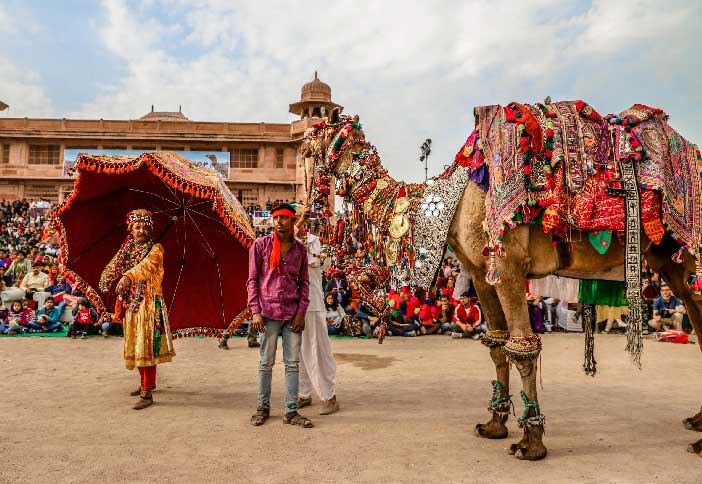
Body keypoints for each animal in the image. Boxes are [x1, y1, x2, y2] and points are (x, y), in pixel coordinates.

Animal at [304, 104, 702, 460]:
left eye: (307, 147)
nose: (309, 210)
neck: (451, 202)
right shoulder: (481, 274)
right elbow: (496, 345)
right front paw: (494, 424)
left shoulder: (508, 266)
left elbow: (522, 348)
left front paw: (531, 442)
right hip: (671, 263)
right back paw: (696, 423)